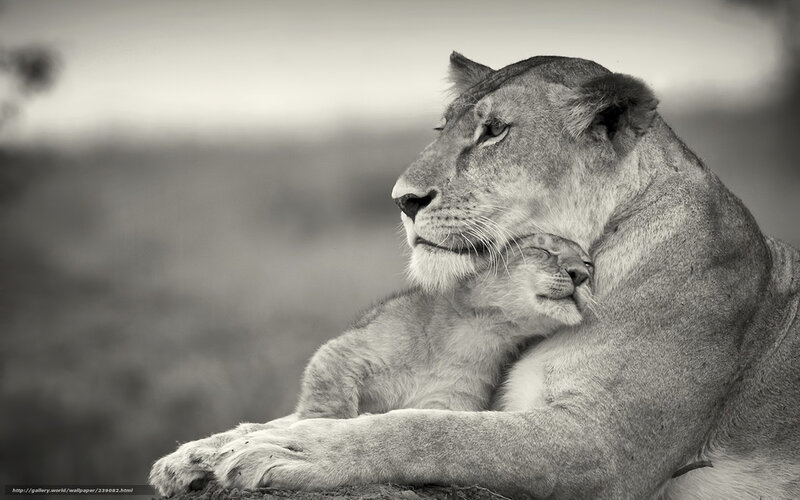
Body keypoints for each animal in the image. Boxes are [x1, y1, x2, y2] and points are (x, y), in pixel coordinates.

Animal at [150, 53, 800, 499]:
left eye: (494, 131)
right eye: (443, 130)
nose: (403, 200)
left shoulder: (607, 447)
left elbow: (433, 430)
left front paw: (293, 449)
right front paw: (202, 452)